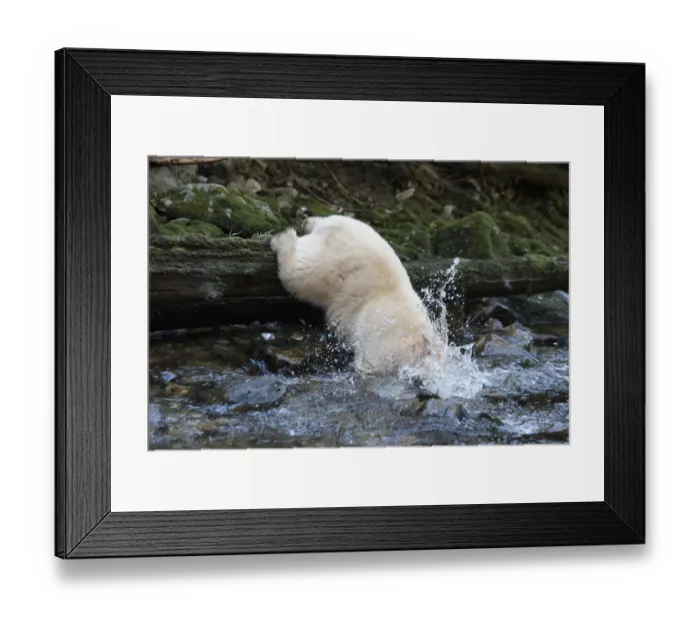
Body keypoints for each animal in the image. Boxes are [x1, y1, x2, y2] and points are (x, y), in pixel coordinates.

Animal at [270, 215, 447, 376]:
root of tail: (332, 227)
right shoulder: (386, 342)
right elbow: (371, 363)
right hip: (331, 267)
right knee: (300, 273)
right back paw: (285, 238)